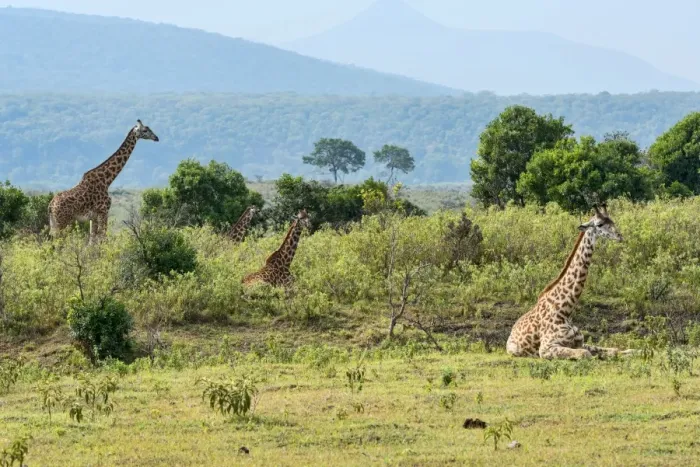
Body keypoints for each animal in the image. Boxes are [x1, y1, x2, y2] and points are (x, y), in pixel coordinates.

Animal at [506, 204, 637, 360]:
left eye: (612, 220)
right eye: (599, 224)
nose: (619, 236)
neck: (565, 311)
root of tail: (510, 333)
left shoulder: (580, 342)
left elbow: (615, 350)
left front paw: (637, 352)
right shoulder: (546, 348)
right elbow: (585, 354)